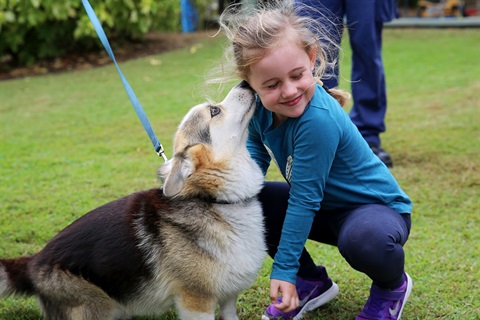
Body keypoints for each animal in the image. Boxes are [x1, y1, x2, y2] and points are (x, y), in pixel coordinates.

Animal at [0, 82, 266, 320]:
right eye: (214, 111)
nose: (244, 83)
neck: (214, 199)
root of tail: (32, 263)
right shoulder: (196, 302)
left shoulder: (229, 297)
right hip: (99, 306)